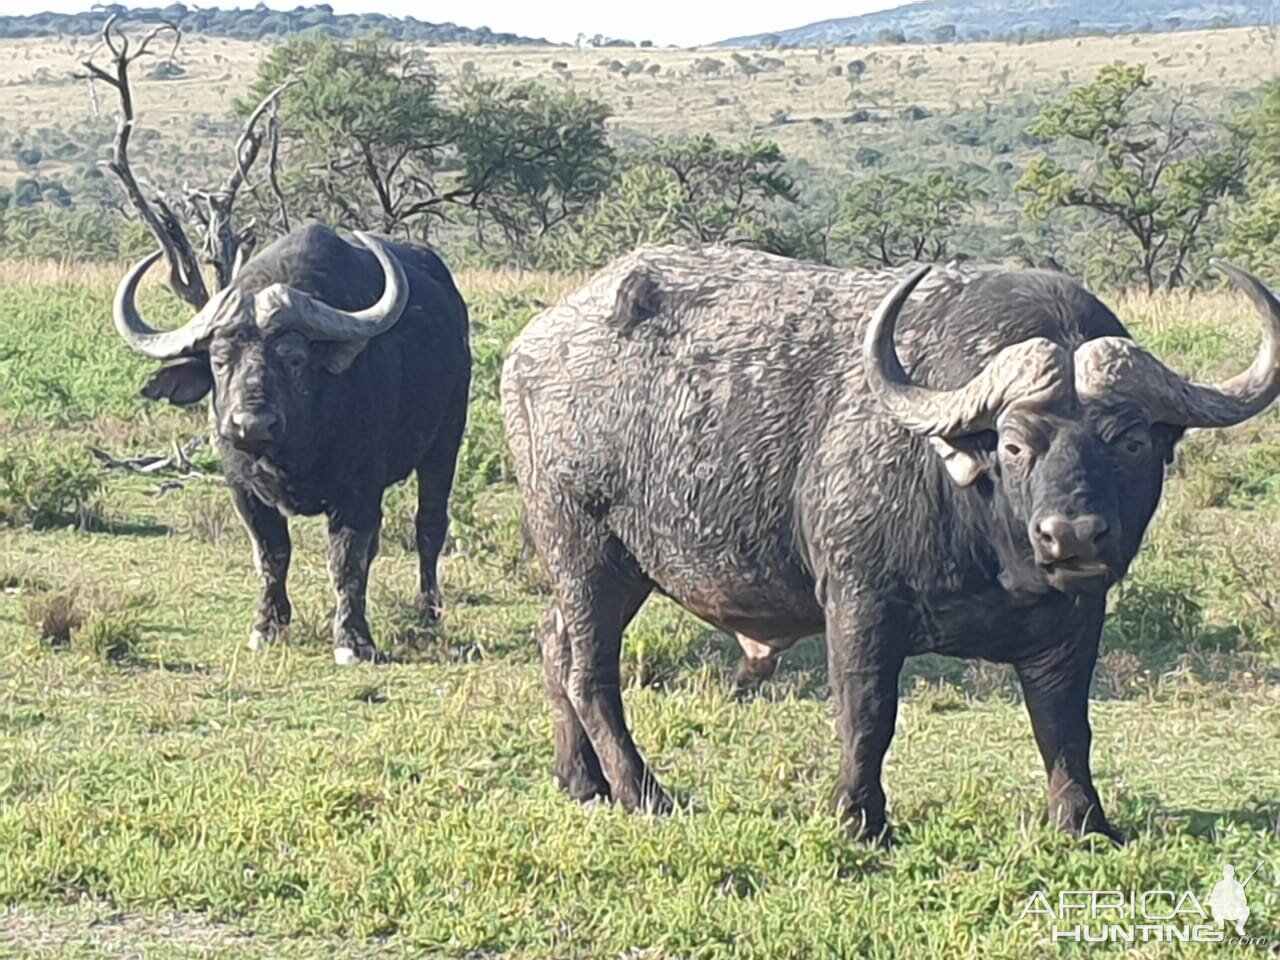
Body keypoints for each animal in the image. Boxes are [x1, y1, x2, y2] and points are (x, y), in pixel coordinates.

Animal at [113, 225, 471, 665]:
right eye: (219, 360)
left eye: (294, 359)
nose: (251, 424)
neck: (292, 450)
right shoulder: (244, 490)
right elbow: (273, 554)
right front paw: (268, 626)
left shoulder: (359, 492)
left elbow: (346, 561)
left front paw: (353, 640)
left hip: (444, 445)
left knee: (429, 527)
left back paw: (428, 610)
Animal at [504, 241, 1280, 839]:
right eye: (1015, 443)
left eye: (1129, 441)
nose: (1071, 534)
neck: (982, 527)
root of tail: (527, 352)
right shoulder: (859, 604)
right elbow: (868, 715)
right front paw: (860, 819)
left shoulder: (1077, 618)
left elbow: (1064, 725)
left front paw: (1084, 823)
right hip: (586, 551)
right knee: (589, 672)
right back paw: (643, 791)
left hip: (612, 571)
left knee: (553, 642)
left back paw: (580, 780)